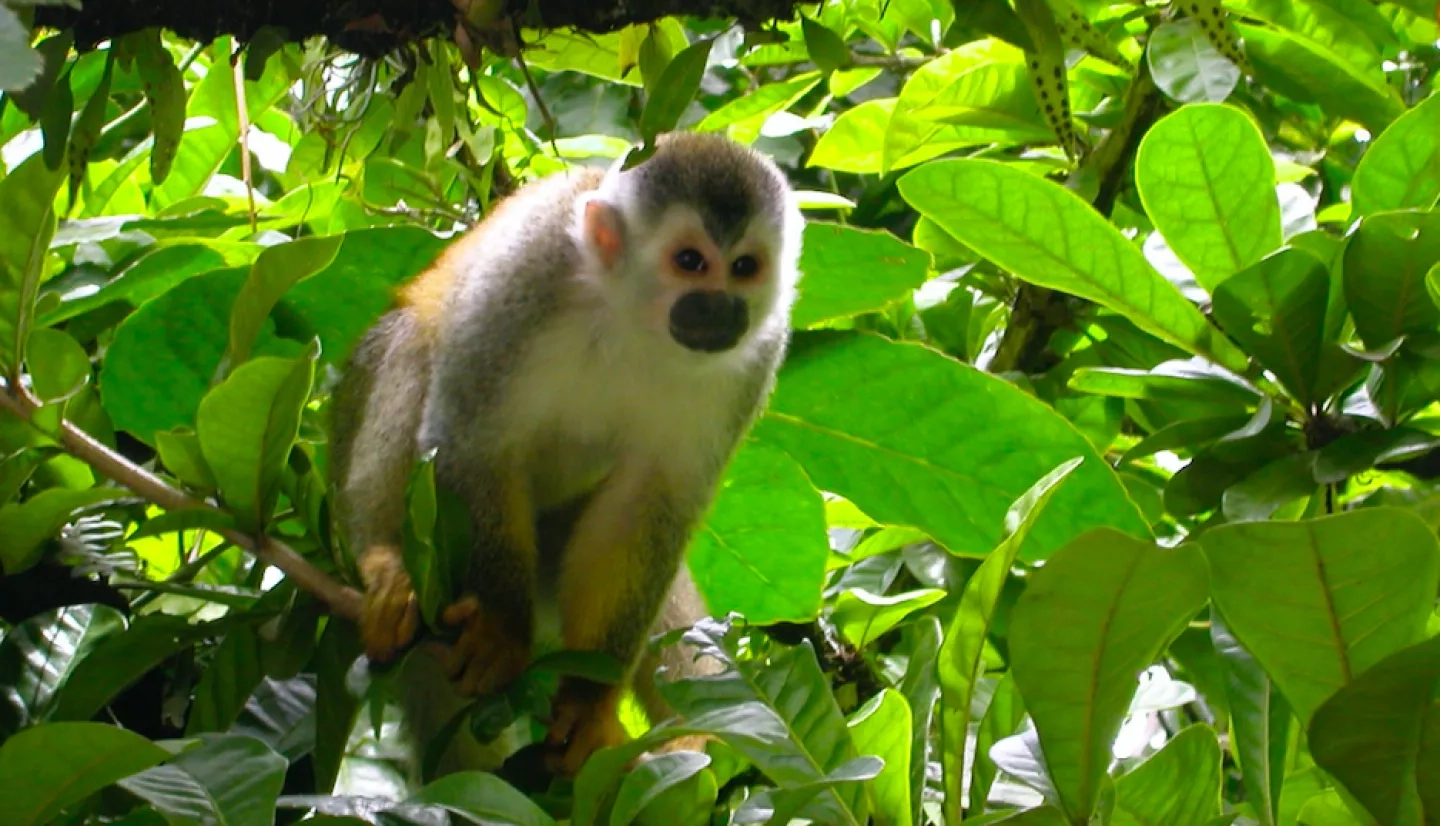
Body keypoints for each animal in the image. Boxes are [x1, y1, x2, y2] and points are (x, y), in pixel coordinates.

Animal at [329, 132, 806, 782]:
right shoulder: (527, 270)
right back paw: (385, 564)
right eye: (690, 262)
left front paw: (586, 704)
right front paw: (501, 632)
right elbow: (470, 436)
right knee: (411, 347)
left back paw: (698, 749)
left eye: (744, 268)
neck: (633, 319)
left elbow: (645, 510)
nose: (721, 309)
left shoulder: (757, 357)